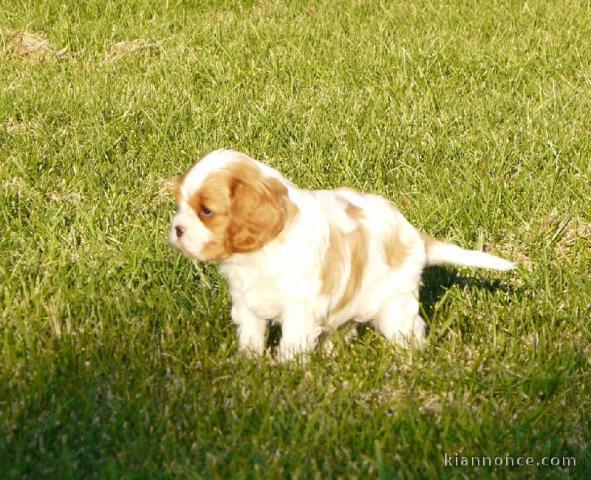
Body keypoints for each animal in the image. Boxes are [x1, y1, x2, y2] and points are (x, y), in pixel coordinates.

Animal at [169, 149, 516, 360]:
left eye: (206, 211)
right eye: (180, 205)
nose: (177, 229)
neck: (258, 253)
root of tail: (414, 236)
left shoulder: (299, 308)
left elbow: (292, 342)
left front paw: (285, 371)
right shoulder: (247, 302)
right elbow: (251, 335)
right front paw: (248, 363)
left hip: (394, 305)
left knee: (411, 330)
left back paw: (408, 358)